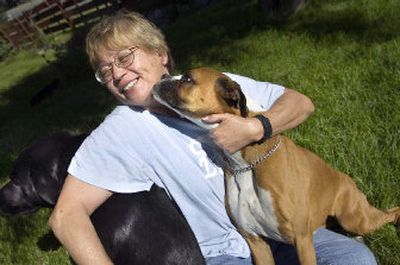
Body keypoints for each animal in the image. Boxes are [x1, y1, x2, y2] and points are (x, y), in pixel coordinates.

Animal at [152, 67, 398, 264]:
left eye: (187, 78)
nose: (162, 76)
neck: (248, 162)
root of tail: (345, 177)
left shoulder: (302, 239)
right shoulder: (257, 242)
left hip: (355, 218)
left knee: (391, 212)